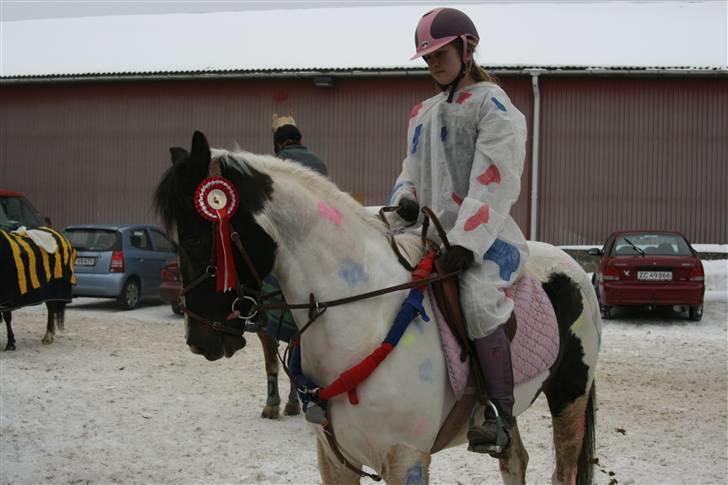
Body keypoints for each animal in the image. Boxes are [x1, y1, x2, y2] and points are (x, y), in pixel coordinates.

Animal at [155, 130, 604, 482]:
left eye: (192, 238)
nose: (198, 338)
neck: (361, 318)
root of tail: (573, 267)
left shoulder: (406, 459)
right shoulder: (335, 460)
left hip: (569, 396)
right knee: (515, 459)